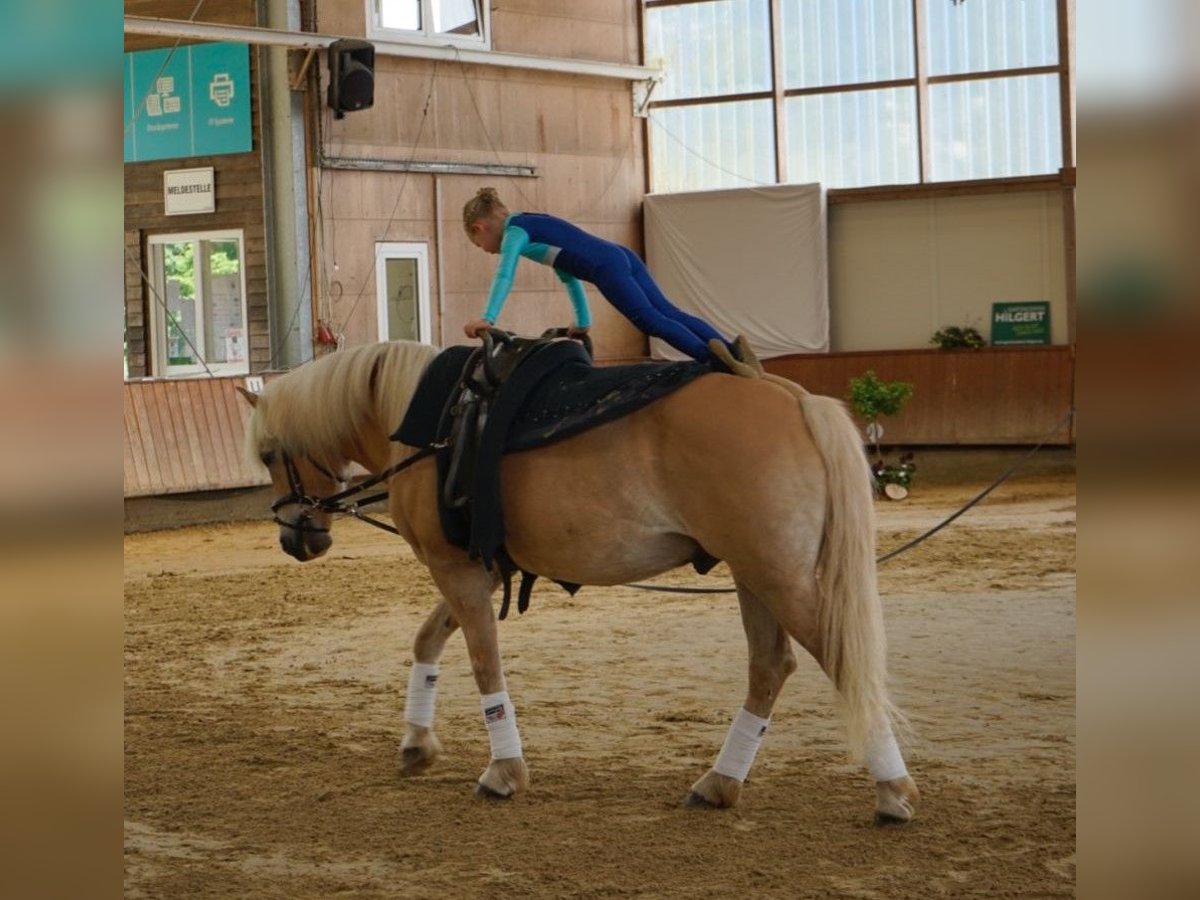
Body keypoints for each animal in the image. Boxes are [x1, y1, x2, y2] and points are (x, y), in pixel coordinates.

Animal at [241, 340, 916, 825]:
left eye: (270, 454)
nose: (296, 536)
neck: (428, 424)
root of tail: (790, 396)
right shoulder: (479, 571)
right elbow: (427, 641)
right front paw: (416, 743)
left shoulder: (455, 569)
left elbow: (483, 664)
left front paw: (503, 772)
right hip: (755, 574)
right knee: (770, 668)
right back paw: (719, 783)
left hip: (776, 576)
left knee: (838, 661)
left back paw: (892, 790)